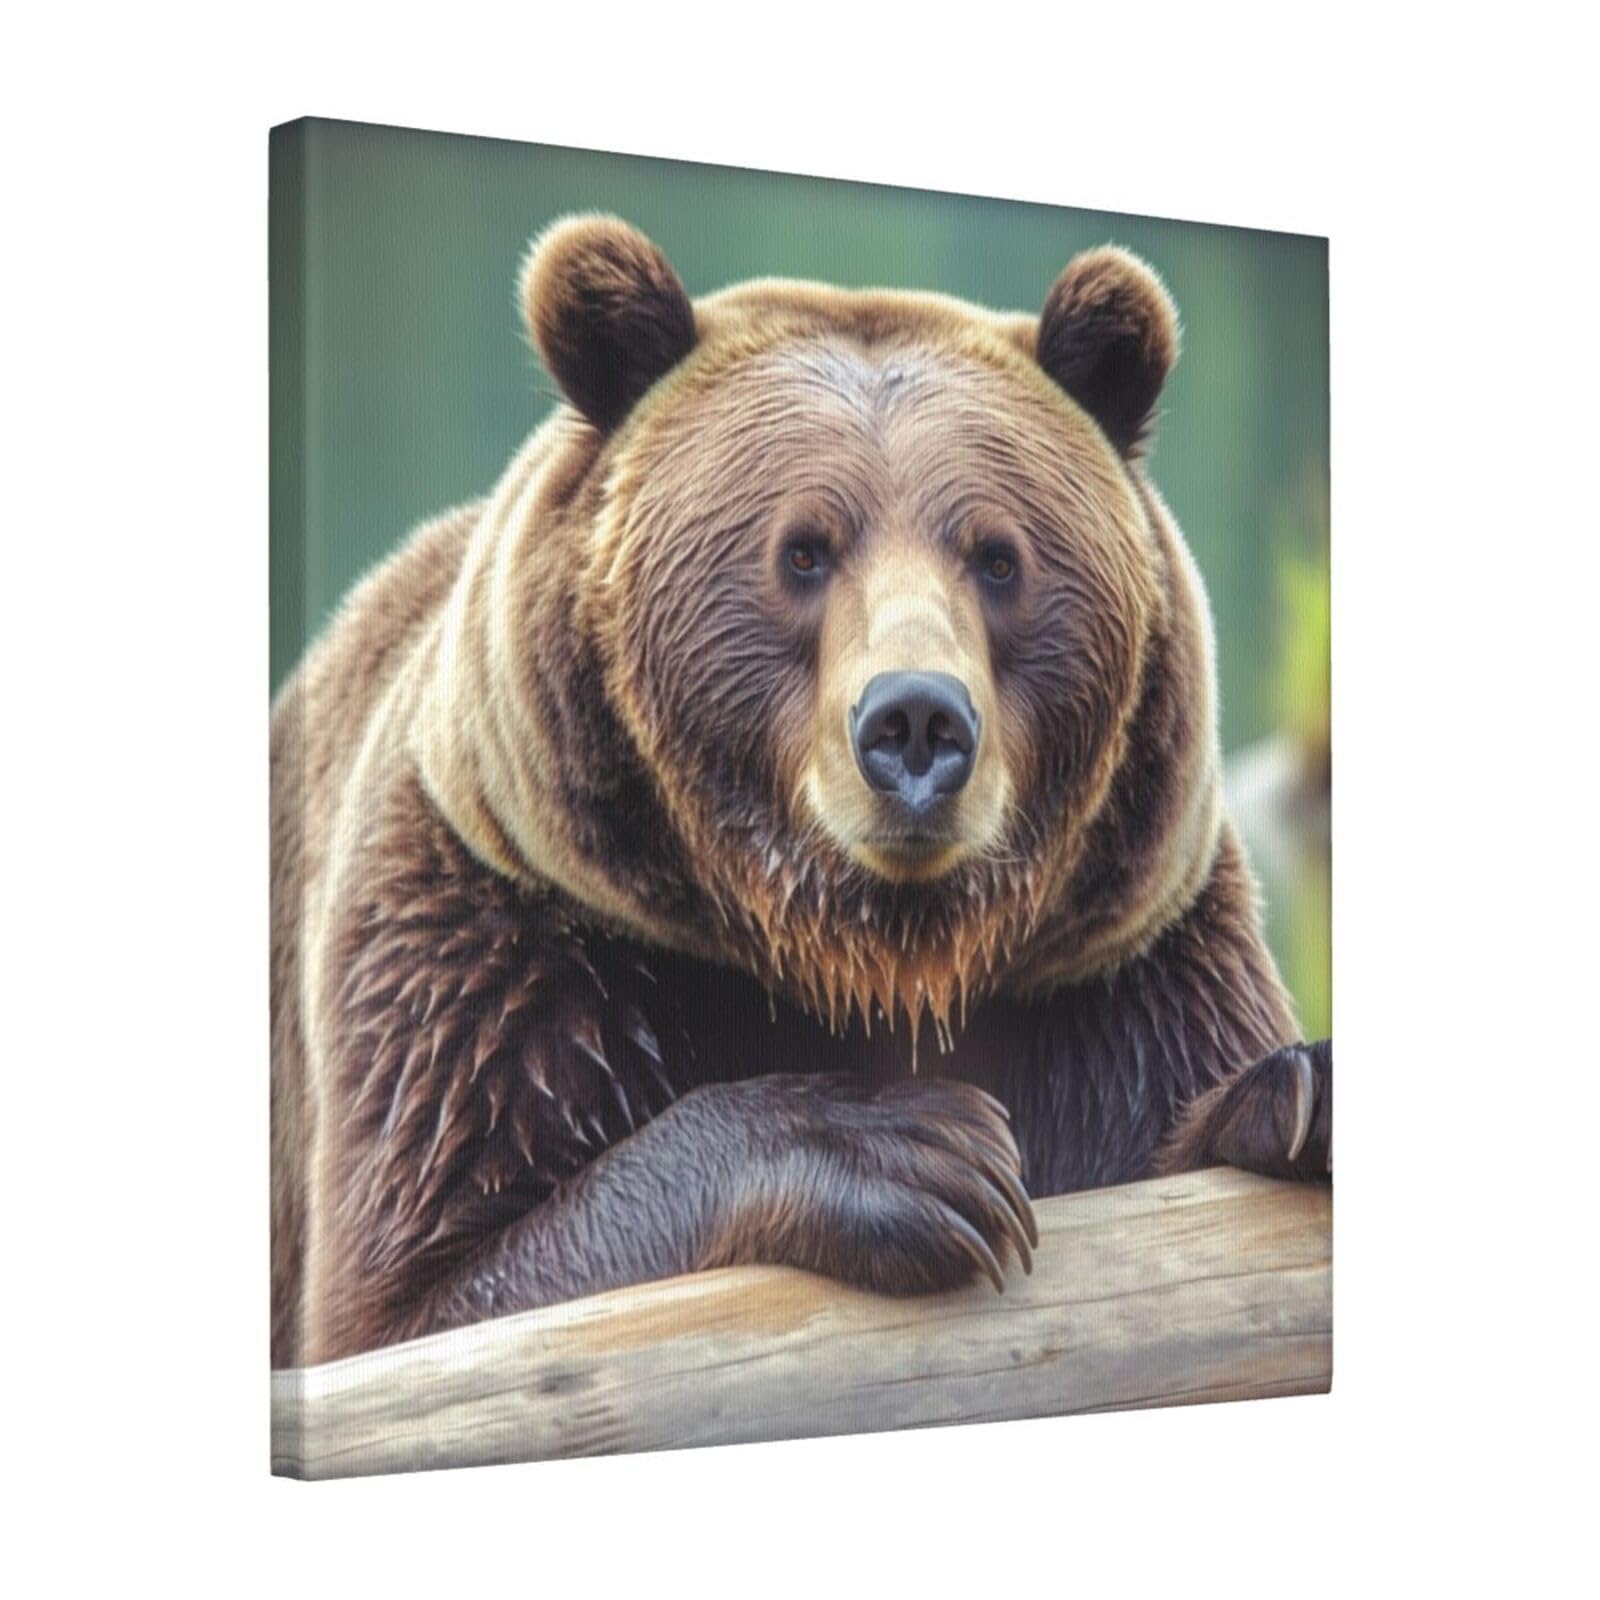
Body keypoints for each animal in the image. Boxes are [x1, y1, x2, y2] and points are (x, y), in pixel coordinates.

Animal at [270, 215, 1332, 1369]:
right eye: (803, 550)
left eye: (999, 557)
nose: (915, 722)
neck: (873, 957)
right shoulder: (496, 941)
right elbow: (433, 1296)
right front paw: (918, 1149)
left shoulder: (1126, 974)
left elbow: (1185, 1112)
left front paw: (1299, 1091)